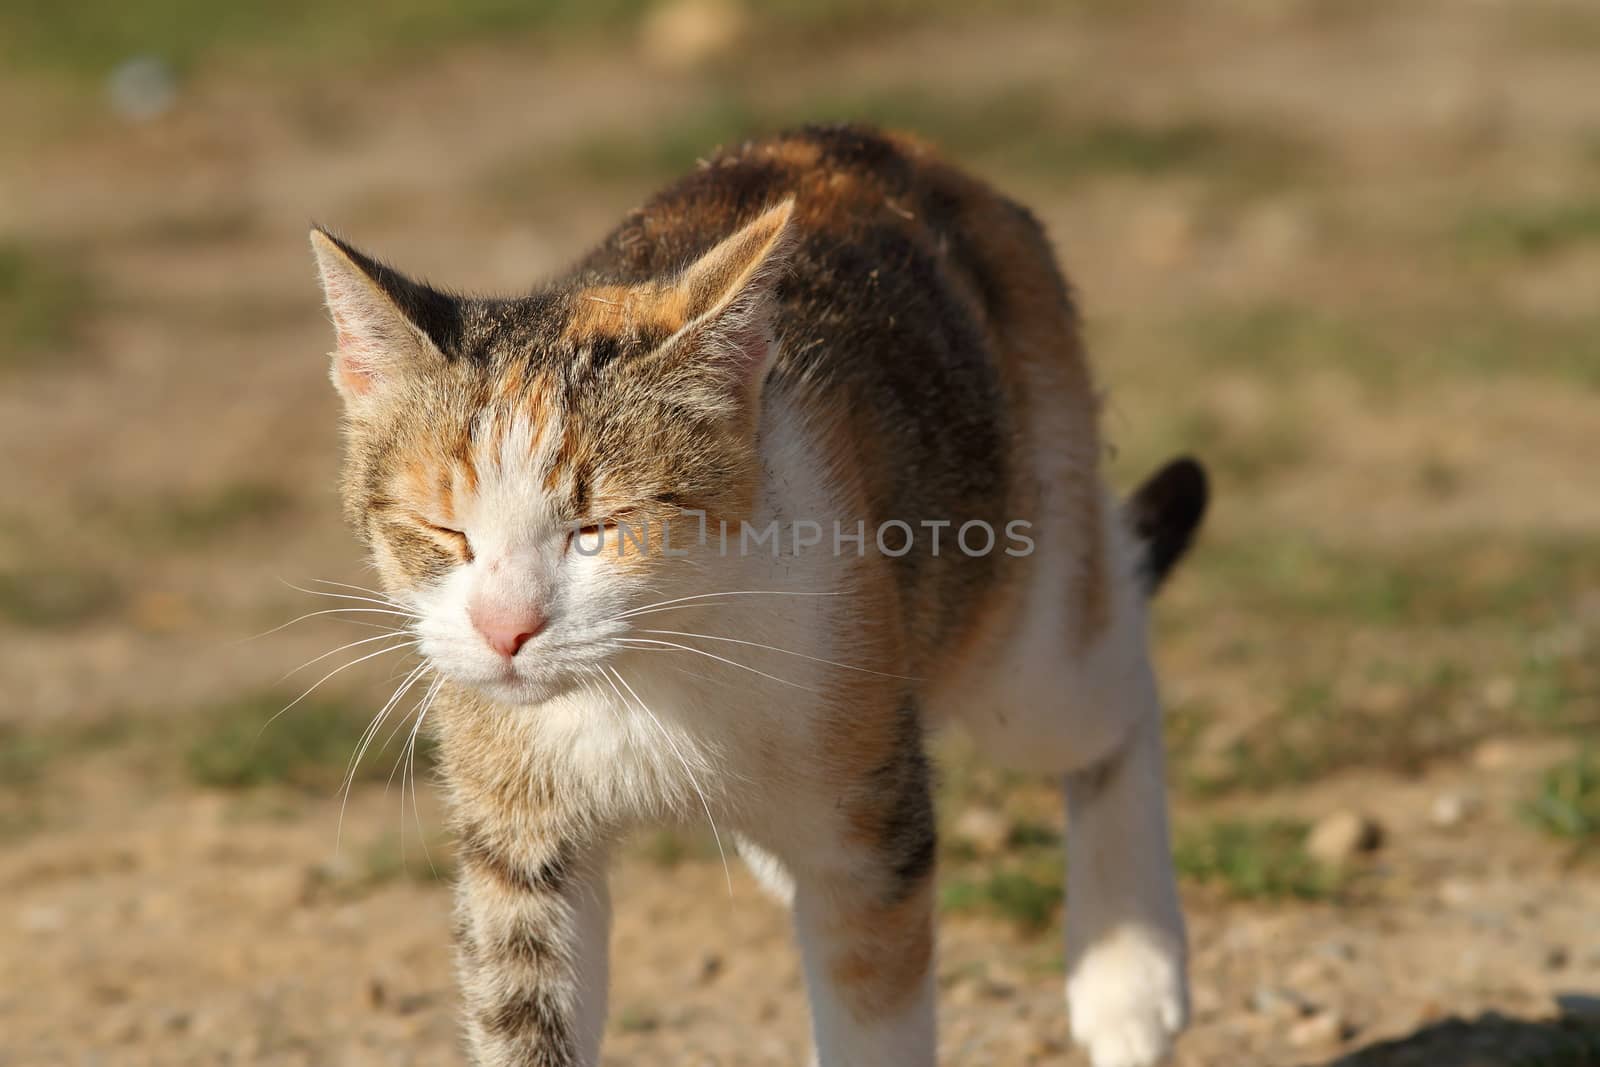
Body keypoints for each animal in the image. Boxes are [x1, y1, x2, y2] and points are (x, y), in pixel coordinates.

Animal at [308, 125, 1203, 1067]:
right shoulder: (518, 851)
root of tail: (878, 138)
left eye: (598, 528)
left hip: (1021, 624)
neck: (641, 676)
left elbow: (871, 1011)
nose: (505, 627)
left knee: (1112, 682)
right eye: (444, 530)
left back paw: (1131, 979)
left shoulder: (866, 837)